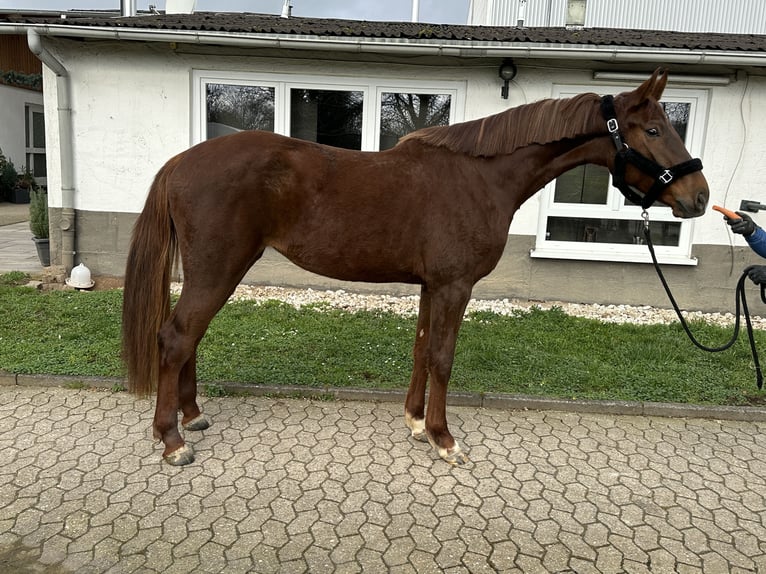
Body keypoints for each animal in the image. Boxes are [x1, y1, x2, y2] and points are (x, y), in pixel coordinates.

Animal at [123, 71, 712, 468]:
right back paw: (173, 441)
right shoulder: (455, 286)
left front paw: (413, 422)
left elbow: (422, 350)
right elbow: (444, 359)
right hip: (218, 269)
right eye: (654, 130)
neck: (481, 178)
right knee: (176, 337)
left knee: (188, 337)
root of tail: (181, 161)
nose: (700, 197)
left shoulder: (433, 286)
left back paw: (192, 415)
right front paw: (444, 438)